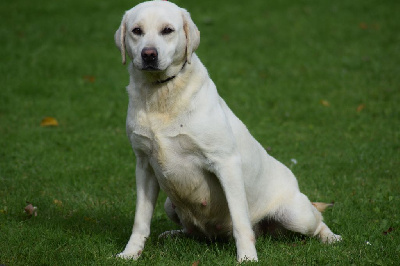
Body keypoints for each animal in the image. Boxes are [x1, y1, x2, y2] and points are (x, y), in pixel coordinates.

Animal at [113, 0, 340, 262]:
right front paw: (130, 253)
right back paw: (174, 234)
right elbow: (140, 220)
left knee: (317, 221)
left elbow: (241, 221)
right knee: (191, 230)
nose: (149, 54)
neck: (161, 94)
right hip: (170, 204)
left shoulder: (226, 163)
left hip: (296, 216)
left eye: (167, 30)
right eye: (136, 31)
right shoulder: (144, 165)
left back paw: (331, 237)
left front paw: (247, 258)